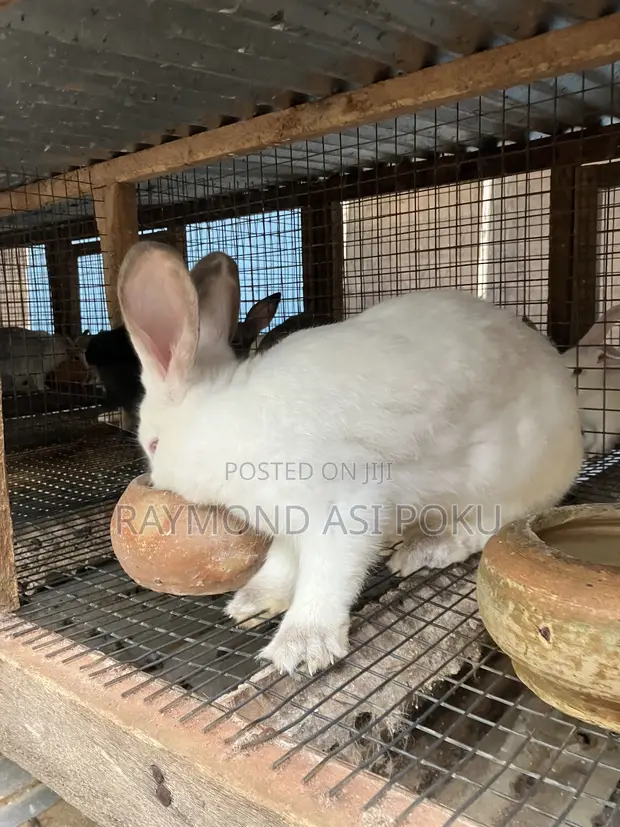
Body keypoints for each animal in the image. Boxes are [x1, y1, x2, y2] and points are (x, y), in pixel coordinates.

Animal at [118, 240, 583, 676]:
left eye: (153, 444)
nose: (154, 480)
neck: (221, 425)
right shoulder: (286, 527)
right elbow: (282, 564)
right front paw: (252, 602)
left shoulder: (342, 506)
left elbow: (326, 577)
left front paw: (301, 649)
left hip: (504, 479)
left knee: (485, 527)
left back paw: (424, 549)